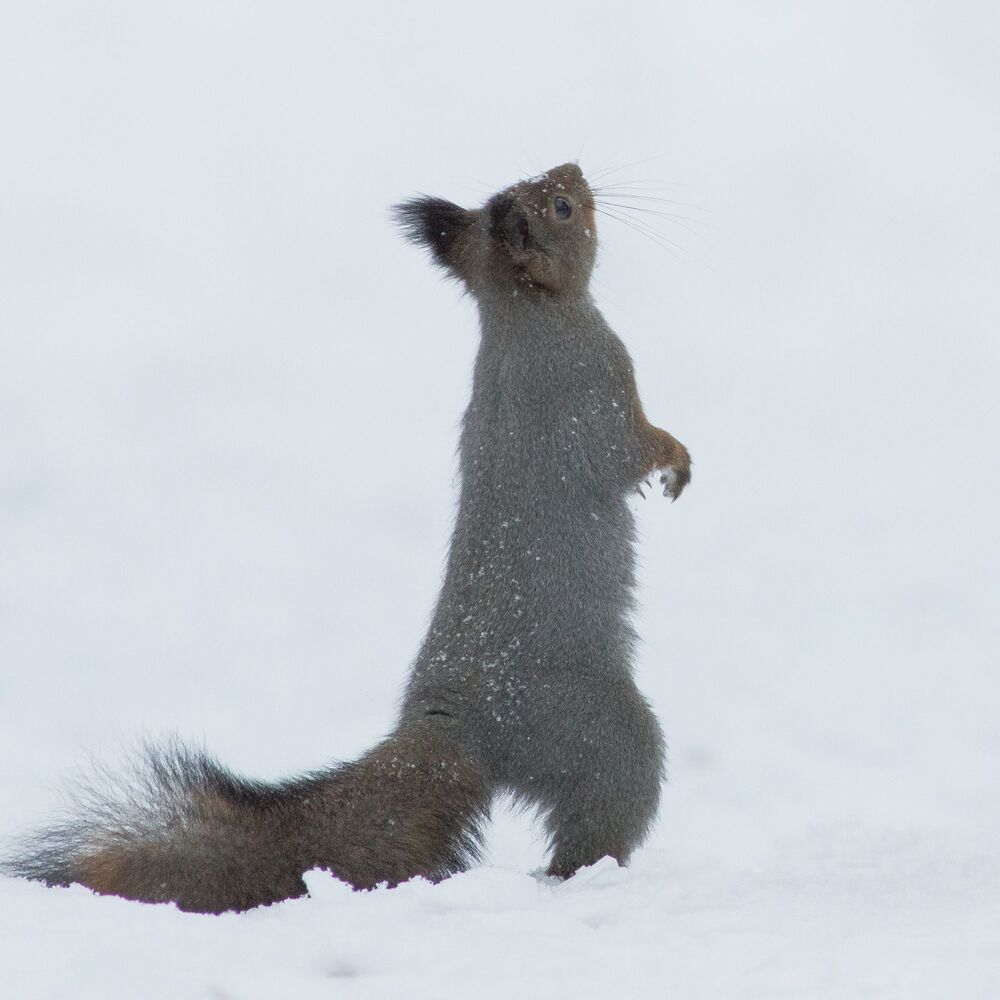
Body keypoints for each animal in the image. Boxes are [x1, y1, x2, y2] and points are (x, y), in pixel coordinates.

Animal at [5, 162, 691, 913]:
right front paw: (677, 463)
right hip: (598, 734)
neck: (521, 316)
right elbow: (632, 448)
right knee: (597, 821)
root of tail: (453, 724)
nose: (575, 169)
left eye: (550, 189)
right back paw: (590, 875)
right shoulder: (596, 392)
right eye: (564, 208)